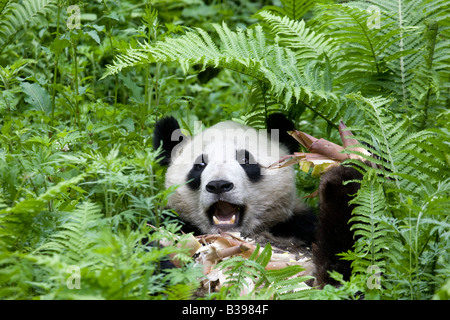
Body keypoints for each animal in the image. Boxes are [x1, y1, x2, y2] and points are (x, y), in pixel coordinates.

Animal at [153, 114, 364, 286]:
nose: (219, 185)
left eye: (246, 160)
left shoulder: (296, 228)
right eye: (200, 165)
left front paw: (345, 176)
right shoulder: (176, 225)